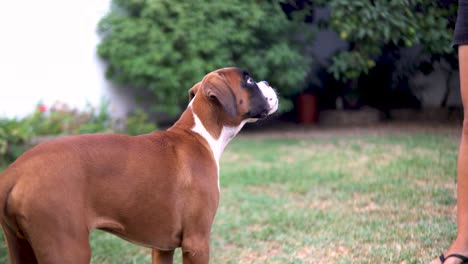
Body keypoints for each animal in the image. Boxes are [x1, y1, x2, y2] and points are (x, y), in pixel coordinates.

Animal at [0, 67, 278, 262]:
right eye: (248, 80)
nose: (267, 83)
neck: (199, 135)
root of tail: (17, 169)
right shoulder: (197, 243)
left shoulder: (162, 247)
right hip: (68, 249)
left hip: (21, 248)